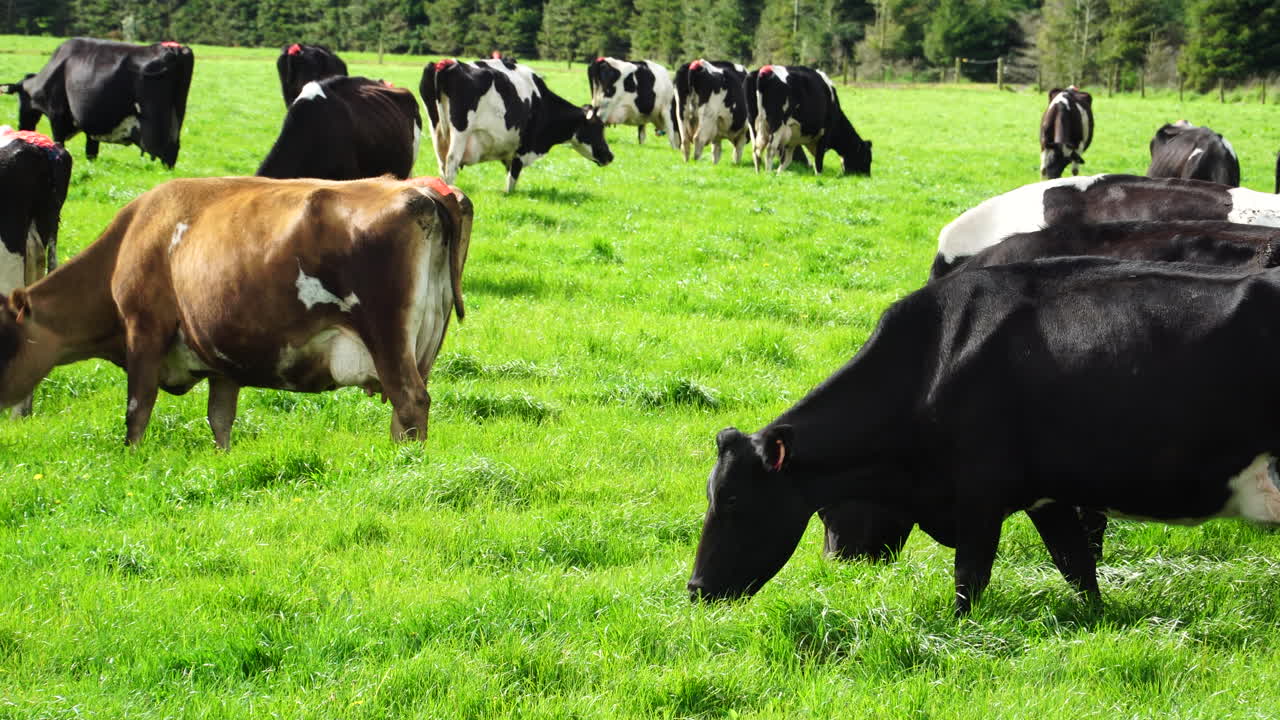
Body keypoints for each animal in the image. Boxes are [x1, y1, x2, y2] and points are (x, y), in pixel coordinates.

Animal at [0, 38, 193, 168]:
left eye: (20, 98)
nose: (23, 126)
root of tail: (174, 49)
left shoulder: (57, 115)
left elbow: (60, 142)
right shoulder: (90, 123)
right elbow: (91, 151)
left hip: (156, 120)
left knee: (167, 152)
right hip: (178, 113)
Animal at [0, 175, 472, 449]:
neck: (134, 236)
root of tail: (423, 191)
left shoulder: (144, 331)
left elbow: (137, 411)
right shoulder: (222, 358)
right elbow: (220, 420)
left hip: (386, 337)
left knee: (409, 403)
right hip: (424, 343)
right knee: (405, 410)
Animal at [419, 57, 613, 192]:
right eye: (598, 128)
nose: (610, 156)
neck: (542, 102)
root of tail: (449, 64)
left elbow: (509, 172)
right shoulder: (524, 146)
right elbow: (513, 178)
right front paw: (509, 193)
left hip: (436, 131)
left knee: (442, 165)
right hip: (460, 131)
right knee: (451, 162)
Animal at [689, 257, 1280, 615]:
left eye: (735, 500)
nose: (695, 590)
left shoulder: (978, 496)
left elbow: (969, 579)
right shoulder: (1046, 496)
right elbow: (1078, 569)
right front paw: (1098, 620)